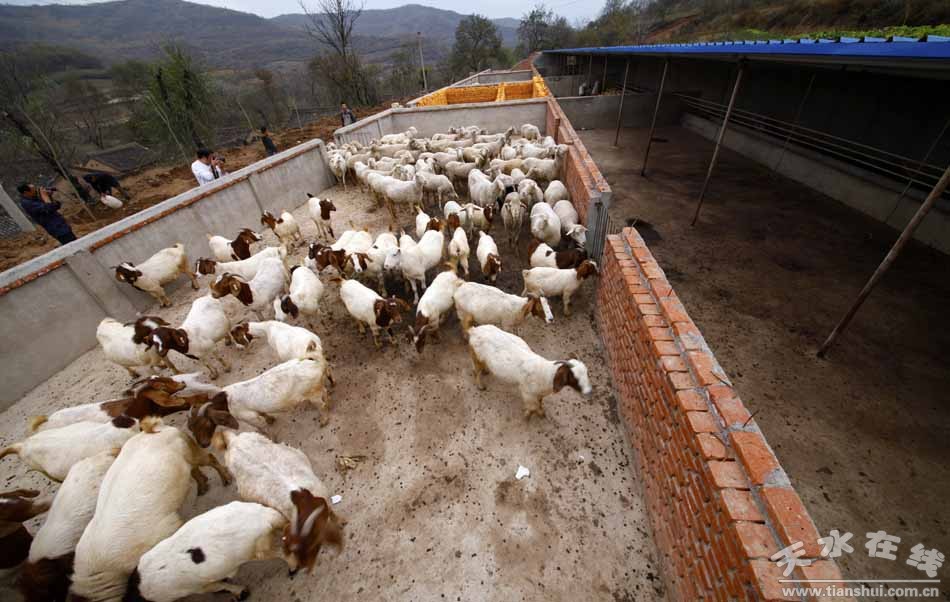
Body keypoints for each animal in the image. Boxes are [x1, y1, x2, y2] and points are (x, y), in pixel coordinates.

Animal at [70, 419, 230, 602]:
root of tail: (154, 427)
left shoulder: (166, 530)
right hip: (186, 459)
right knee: (194, 470)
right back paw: (203, 487)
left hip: (191, 451)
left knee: (209, 458)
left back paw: (225, 479)